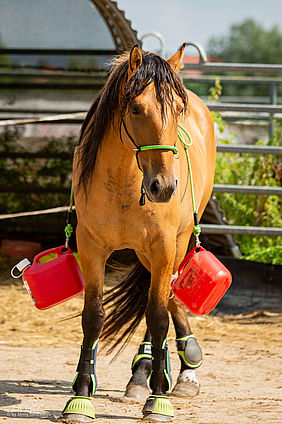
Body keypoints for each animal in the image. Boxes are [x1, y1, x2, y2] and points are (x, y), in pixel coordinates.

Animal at [62, 44, 216, 422]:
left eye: (177, 110)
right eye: (135, 108)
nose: (165, 186)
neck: (125, 182)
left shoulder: (163, 247)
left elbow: (158, 315)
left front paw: (158, 399)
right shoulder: (91, 248)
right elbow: (93, 318)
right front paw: (80, 396)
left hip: (176, 243)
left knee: (163, 298)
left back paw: (177, 372)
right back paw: (143, 374)